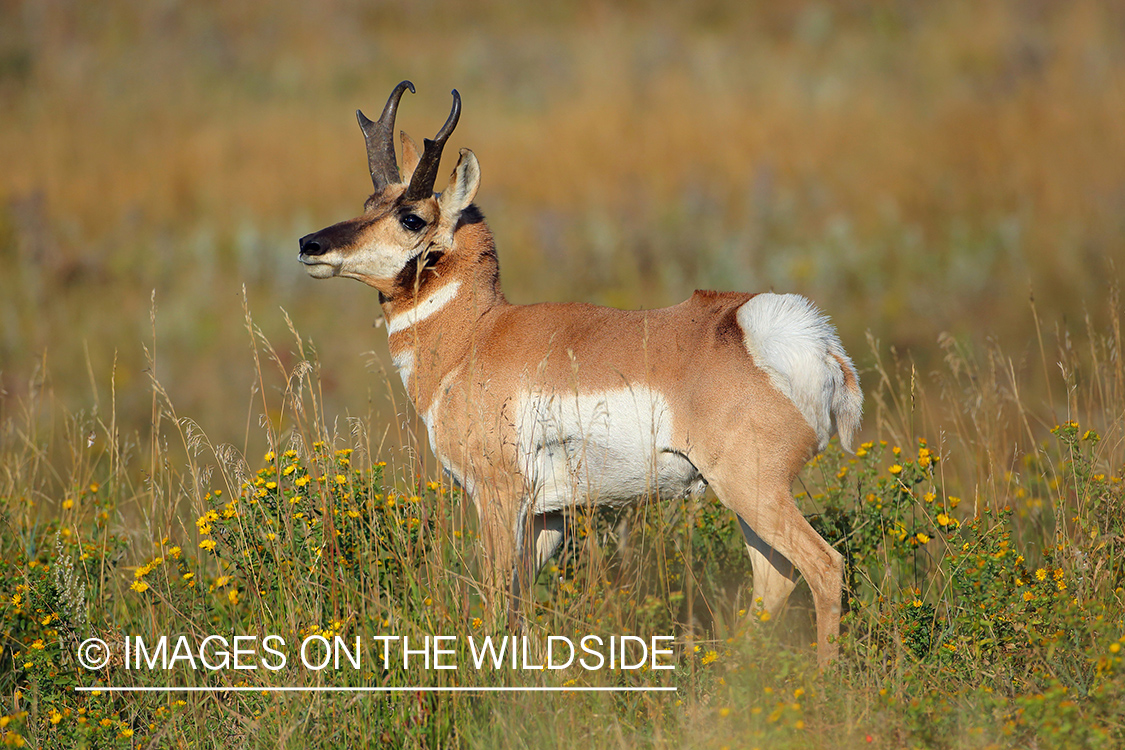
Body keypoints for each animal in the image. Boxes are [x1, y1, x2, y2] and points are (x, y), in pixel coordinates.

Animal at [297, 82, 859, 665]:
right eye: (369, 204)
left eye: (411, 217)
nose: (309, 245)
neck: (476, 334)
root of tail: (797, 337)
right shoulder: (547, 517)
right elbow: (517, 600)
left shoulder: (498, 497)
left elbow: (495, 596)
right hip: (743, 498)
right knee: (776, 580)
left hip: (752, 488)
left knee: (823, 567)